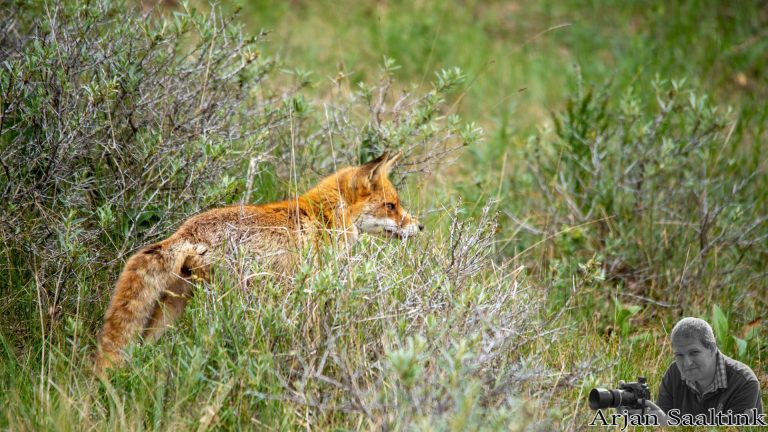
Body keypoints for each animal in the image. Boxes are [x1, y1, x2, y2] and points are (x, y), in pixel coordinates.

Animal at [96, 152, 424, 372]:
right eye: (391, 206)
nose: (420, 227)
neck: (325, 217)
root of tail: (185, 231)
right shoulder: (308, 290)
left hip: (173, 306)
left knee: (144, 345)